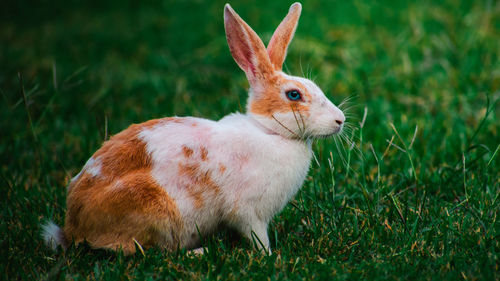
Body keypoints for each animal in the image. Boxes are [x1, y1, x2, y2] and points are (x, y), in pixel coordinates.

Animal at [43, 2, 344, 254]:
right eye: (294, 95)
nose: (340, 120)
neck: (269, 131)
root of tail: (73, 227)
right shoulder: (249, 212)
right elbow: (257, 236)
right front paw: (269, 256)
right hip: (155, 210)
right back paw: (198, 252)